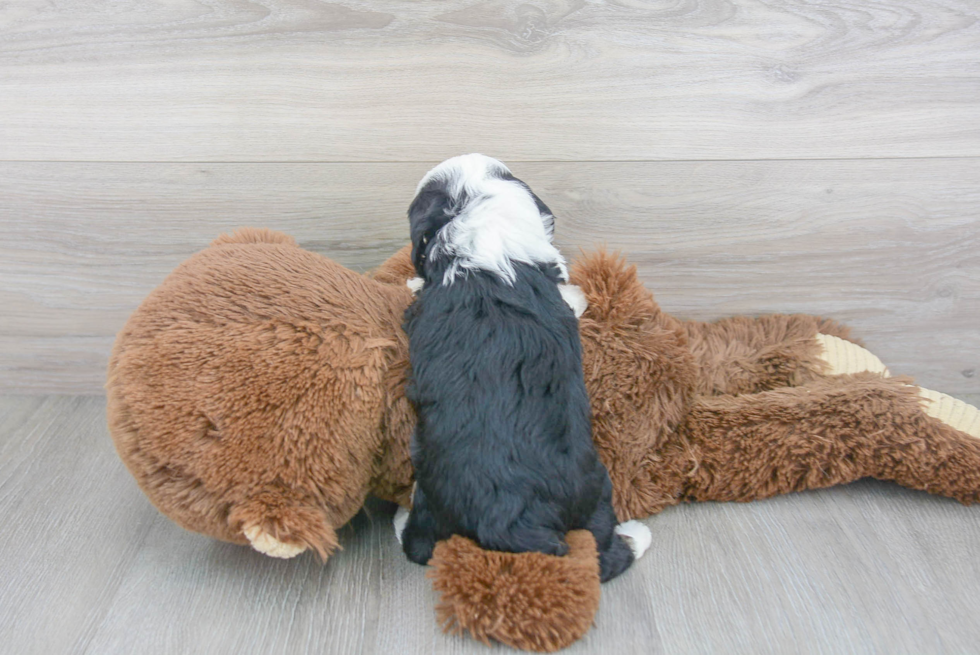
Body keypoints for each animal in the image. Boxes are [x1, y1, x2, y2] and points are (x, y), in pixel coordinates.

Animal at [394, 155, 648, 584]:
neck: (477, 222)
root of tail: (511, 520)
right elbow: (571, 295)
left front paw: (413, 282)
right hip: (593, 488)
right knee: (603, 550)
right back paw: (635, 535)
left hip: (434, 493)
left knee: (419, 543)